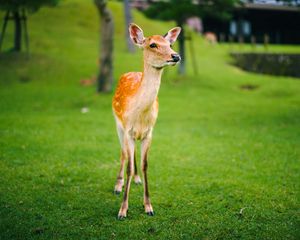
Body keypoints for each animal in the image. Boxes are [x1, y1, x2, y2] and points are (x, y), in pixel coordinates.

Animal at [111, 23, 179, 219]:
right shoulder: (127, 129)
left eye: (170, 44)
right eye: (153, 45)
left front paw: (148, 206)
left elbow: (145, 165)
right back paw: (118, 185)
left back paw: (136, 180)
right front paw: (122, 210)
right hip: (117, 124)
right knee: (123, 154)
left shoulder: (149, 132)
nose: (176, 56)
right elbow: (128, 164)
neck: (141, 116)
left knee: (131, 155)